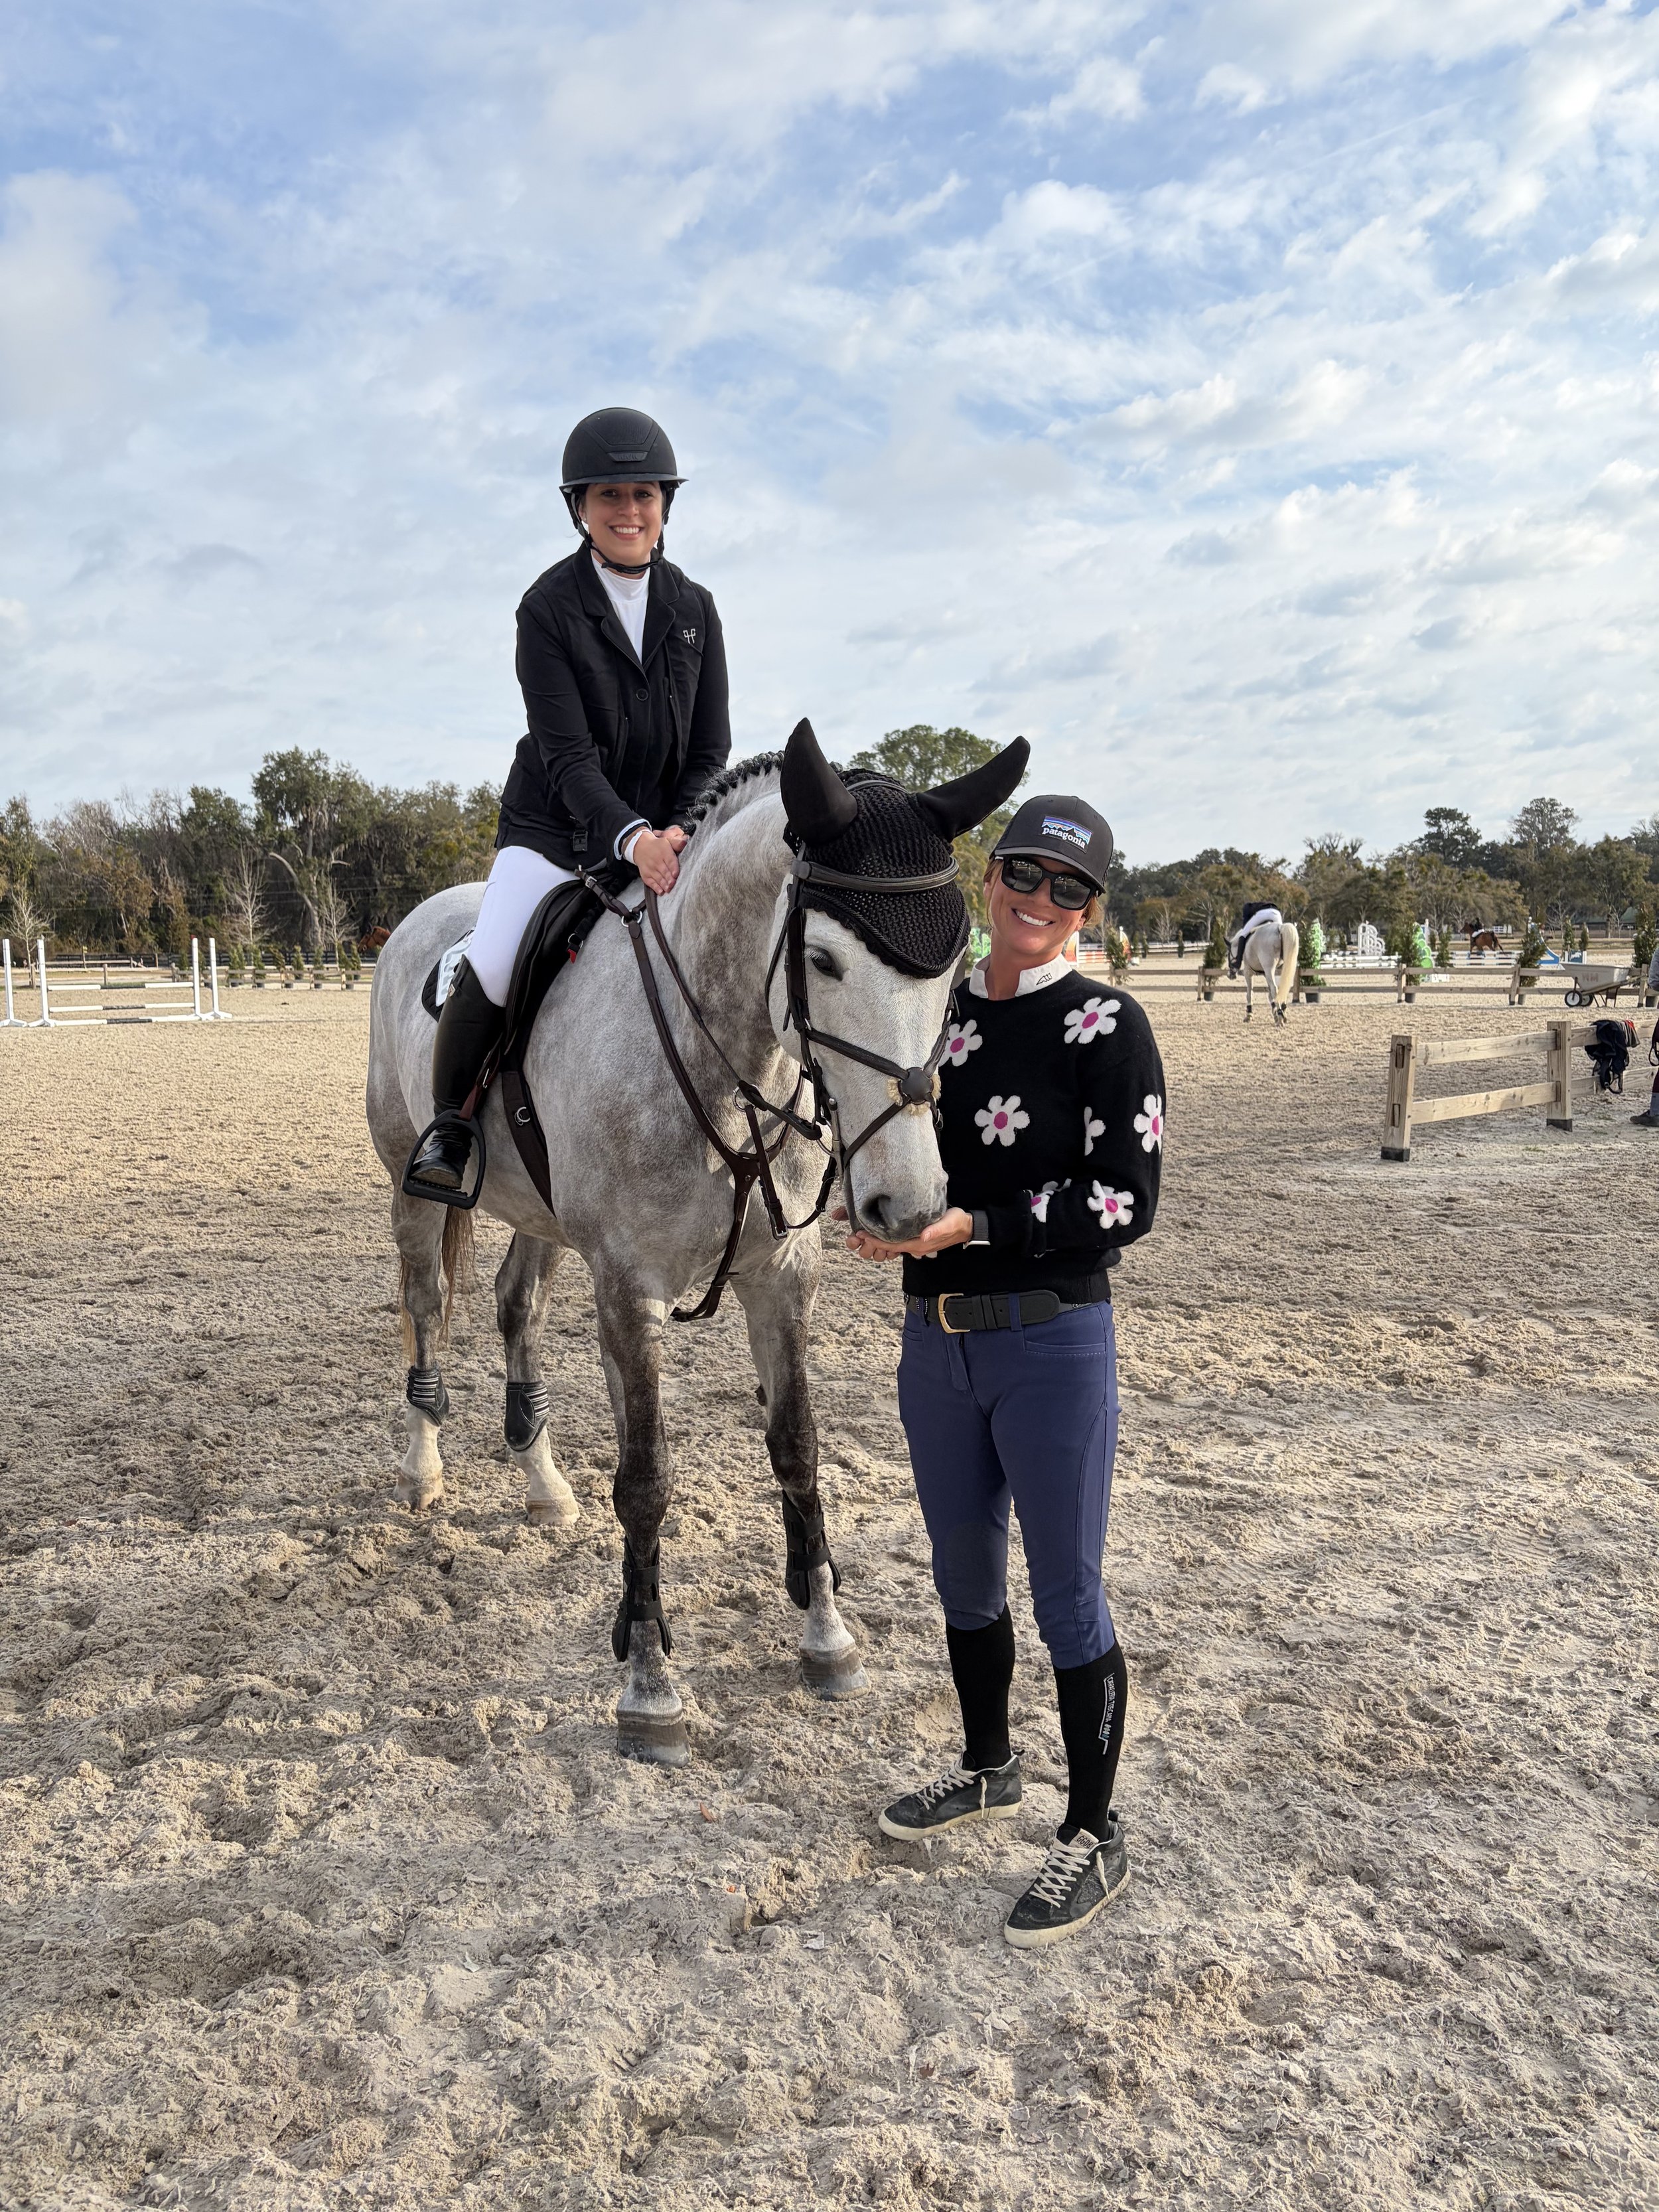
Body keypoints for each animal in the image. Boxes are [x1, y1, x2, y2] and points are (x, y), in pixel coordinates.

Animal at [365, 720, 1023, 1766]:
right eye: (824, 960)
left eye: (960, 963)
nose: (911, 1207)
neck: (727, 1054)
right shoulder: (629, 1286)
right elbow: (647, 1480)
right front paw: (649, 1684)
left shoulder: (782, 1277)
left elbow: (796, 1446)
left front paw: (826, 1637)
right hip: (410, 1181)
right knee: (427, 1303)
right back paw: (424, 1466)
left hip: (543, 1219)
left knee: (518, 1307)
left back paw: (544, 1484)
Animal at [1239, 918, 1301, 1026]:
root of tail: (1280, 928)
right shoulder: (1266, 974)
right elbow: (1270, 995)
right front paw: (1275, 1014)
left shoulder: (1248, 972)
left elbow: (1250, 993)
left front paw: (1249, 1015)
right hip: (1283, 968)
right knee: (1284, 987)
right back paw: (1283, 1014)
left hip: (1269, 969)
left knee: (1275, 988)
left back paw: (1280, 1017)